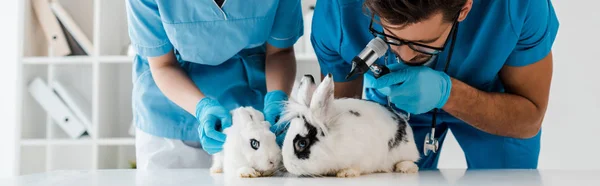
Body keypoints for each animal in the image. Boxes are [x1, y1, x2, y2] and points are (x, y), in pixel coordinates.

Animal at [278, 73, 420, 177]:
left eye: (302, 143)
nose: (288, 166)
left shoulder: (363, 156)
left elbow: (356, 167)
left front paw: (346, 173)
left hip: (406, 150)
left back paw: (404, 168)